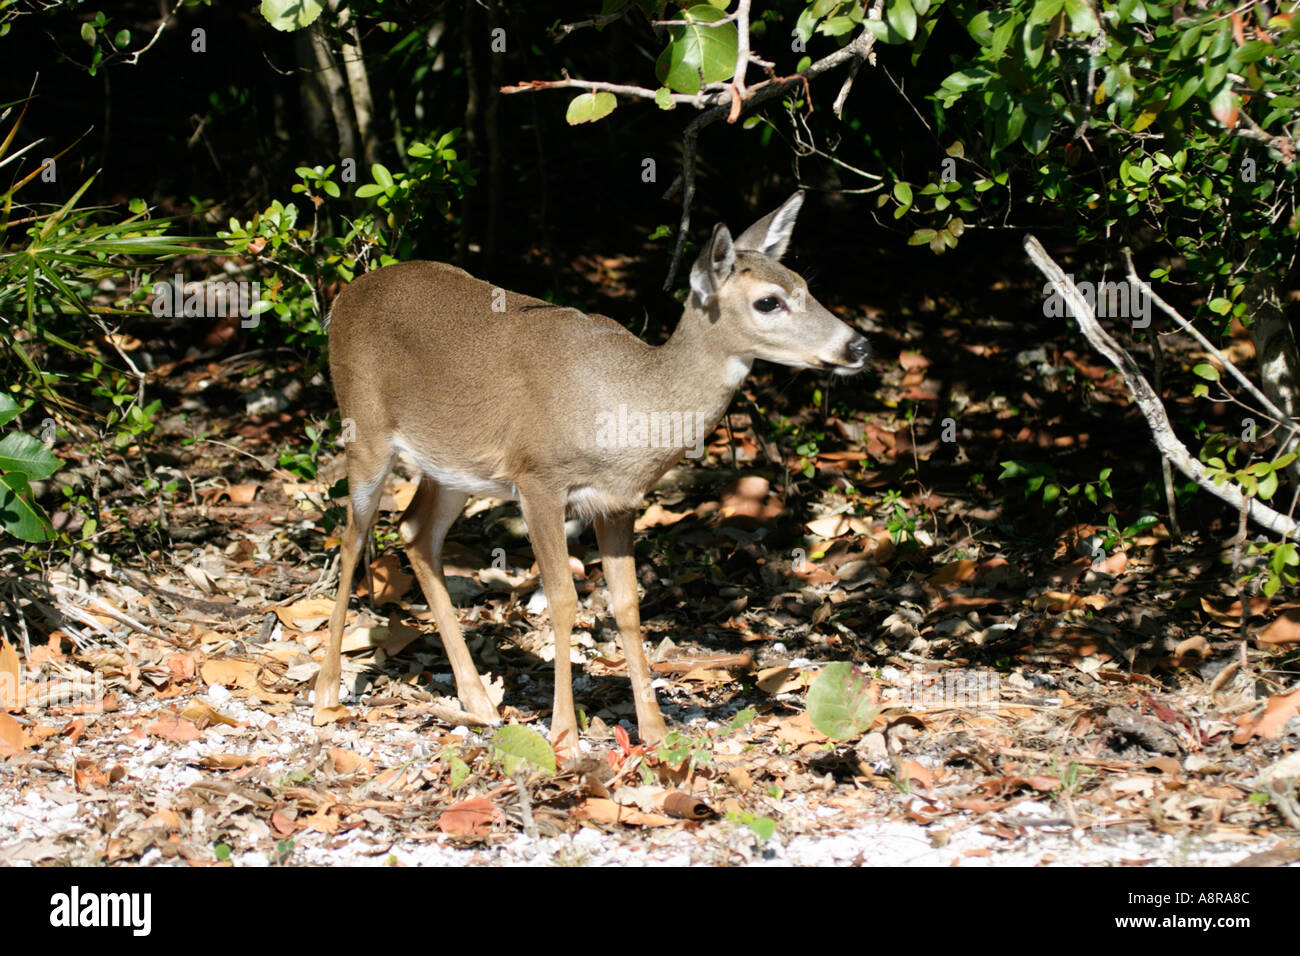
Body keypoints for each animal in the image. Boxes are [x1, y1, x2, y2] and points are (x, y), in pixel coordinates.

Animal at [309, 192, 868, 754]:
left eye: (806, 287)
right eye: (768, 302)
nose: (859, 346)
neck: (627, 406)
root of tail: (347, 294)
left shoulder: (619, 502)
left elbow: (627, 605)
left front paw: (656, 732)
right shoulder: (538, 479)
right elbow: (562, 599)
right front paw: (564, 737)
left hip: (452, 466)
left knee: (416, 530)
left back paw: (478, 701)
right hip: (364, 426)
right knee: (353, 536)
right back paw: (327, 695)